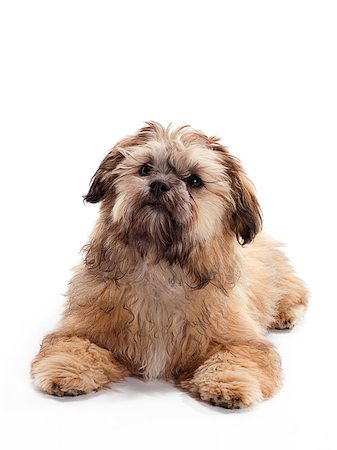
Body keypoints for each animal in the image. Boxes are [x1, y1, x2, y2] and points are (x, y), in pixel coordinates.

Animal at [31, 122, 308, 408]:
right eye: (145, 169)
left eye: (194, 181)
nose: (159, 184)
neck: (160, 264)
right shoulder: (82, 327)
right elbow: (73, 345)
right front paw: (66, 370)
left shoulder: (242, 340)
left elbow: (236, 357)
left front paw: (229, 383)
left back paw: (287, 314)